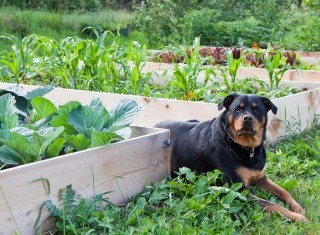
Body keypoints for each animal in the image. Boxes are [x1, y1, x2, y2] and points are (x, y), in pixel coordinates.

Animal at [156, 93, 308, 222]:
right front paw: (297, 217)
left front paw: (298, 208)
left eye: (256, 109)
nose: (247, 118)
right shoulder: (239, 191)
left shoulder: (261, 178)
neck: (246, 148)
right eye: (238, 109)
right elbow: (271, 204)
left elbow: (283, 191)